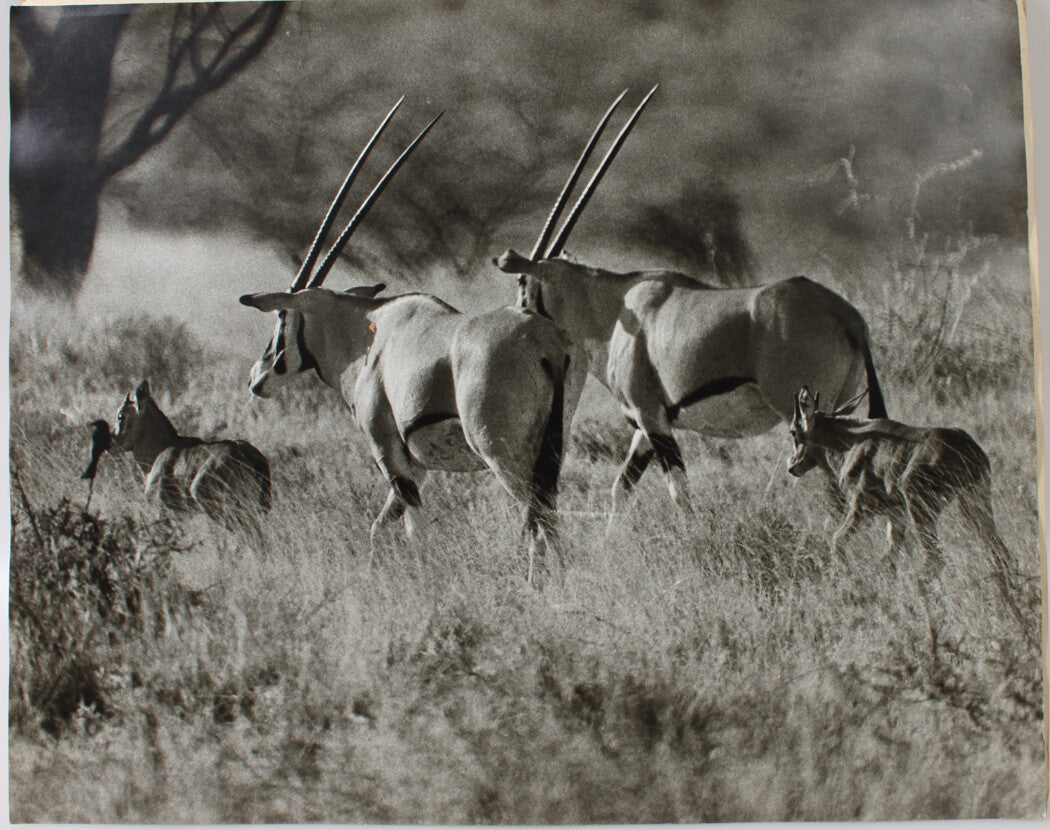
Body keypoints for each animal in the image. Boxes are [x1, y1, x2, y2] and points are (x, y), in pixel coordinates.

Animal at [239, 100, 577, 582]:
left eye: (283, 314)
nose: (258, 375)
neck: (366, 338)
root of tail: (544, 343)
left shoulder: (389, 452)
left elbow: (411, 530)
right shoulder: (417, 465)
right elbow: (382, 526)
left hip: (503, 454)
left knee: (536, 519)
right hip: (549, 451)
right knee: (547, 516)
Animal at [494, 91, 887, 523]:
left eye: (522, 283)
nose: (519, 321)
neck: (613, 310)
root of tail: (846, 316)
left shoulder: (651, 416)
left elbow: (679, 493)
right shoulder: (647, 425)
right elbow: (620, 489)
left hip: (802, 415)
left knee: (832, 487)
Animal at [788, 386, 1031, 639]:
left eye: (794, 432)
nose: (792, 466)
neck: (851, 442)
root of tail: (966, 449)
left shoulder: (860, 510)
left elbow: (837, 541)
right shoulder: (896, 517)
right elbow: (888, 558)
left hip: (921, 509)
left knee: (936, 558)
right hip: (972, 503)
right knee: (998, 549)